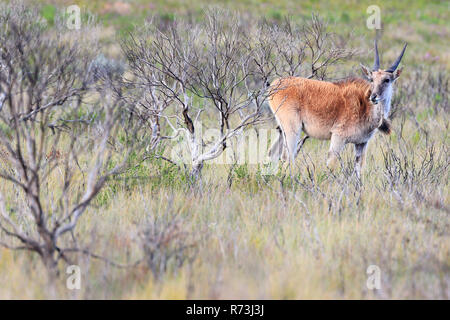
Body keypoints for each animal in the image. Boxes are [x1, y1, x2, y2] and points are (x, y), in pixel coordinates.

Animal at [268, 41, 406, 176]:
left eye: (387, 80)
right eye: (371, 79)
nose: (373, 97)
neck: (363, 106)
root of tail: (275, 85)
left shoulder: (361, 144)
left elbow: (358, 169)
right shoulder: (338, 138)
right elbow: (331, 165)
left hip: (282, 130)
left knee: (273, 153)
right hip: (293, 130)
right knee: (287, 156)